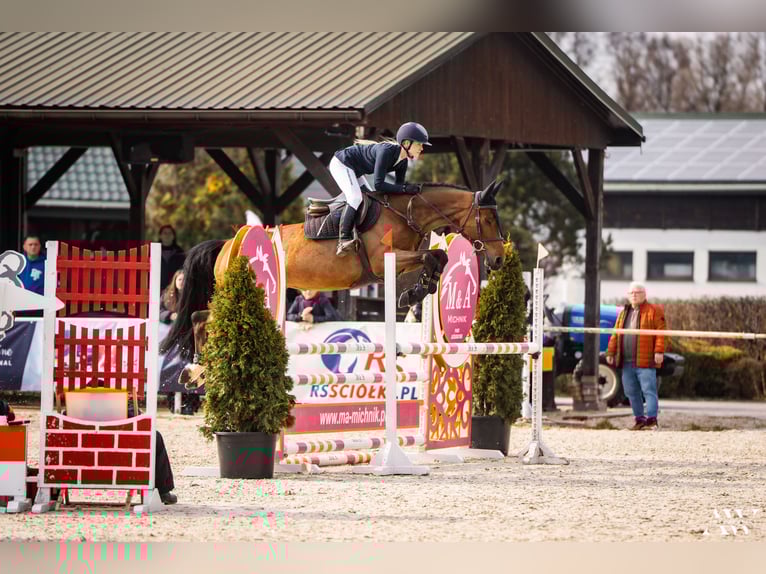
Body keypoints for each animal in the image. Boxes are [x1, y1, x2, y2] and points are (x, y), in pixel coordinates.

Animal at [215, 179, 507, 307]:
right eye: (489, 219)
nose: (499, 259)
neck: (405, 211)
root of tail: (228, 245)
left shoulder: (402, 260)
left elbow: (439, 257)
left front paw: (420, 289)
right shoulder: (382, 261)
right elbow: (429, 256)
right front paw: (413, 293)